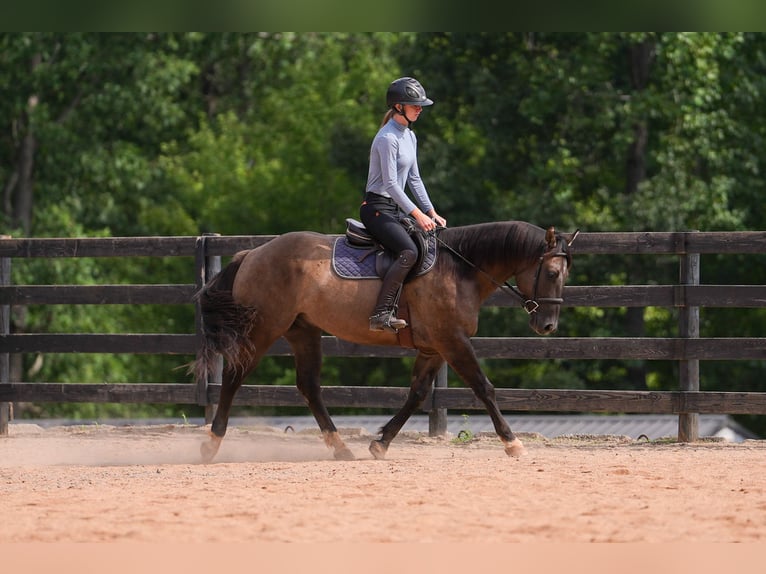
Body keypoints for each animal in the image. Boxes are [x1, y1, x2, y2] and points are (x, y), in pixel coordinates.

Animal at [191, 220, 576, 462]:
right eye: (551, 273)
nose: (548, 325)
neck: (460, 270)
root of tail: (252, 254)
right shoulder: (453, 341)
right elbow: (484, 388)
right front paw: (512, 443)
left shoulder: (435, 347)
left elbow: (417, 394)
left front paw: (381, 443)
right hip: (264, 329)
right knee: (234, 377)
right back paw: (211, 444)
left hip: (304, 332)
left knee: (309, 386)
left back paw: (341, 448)